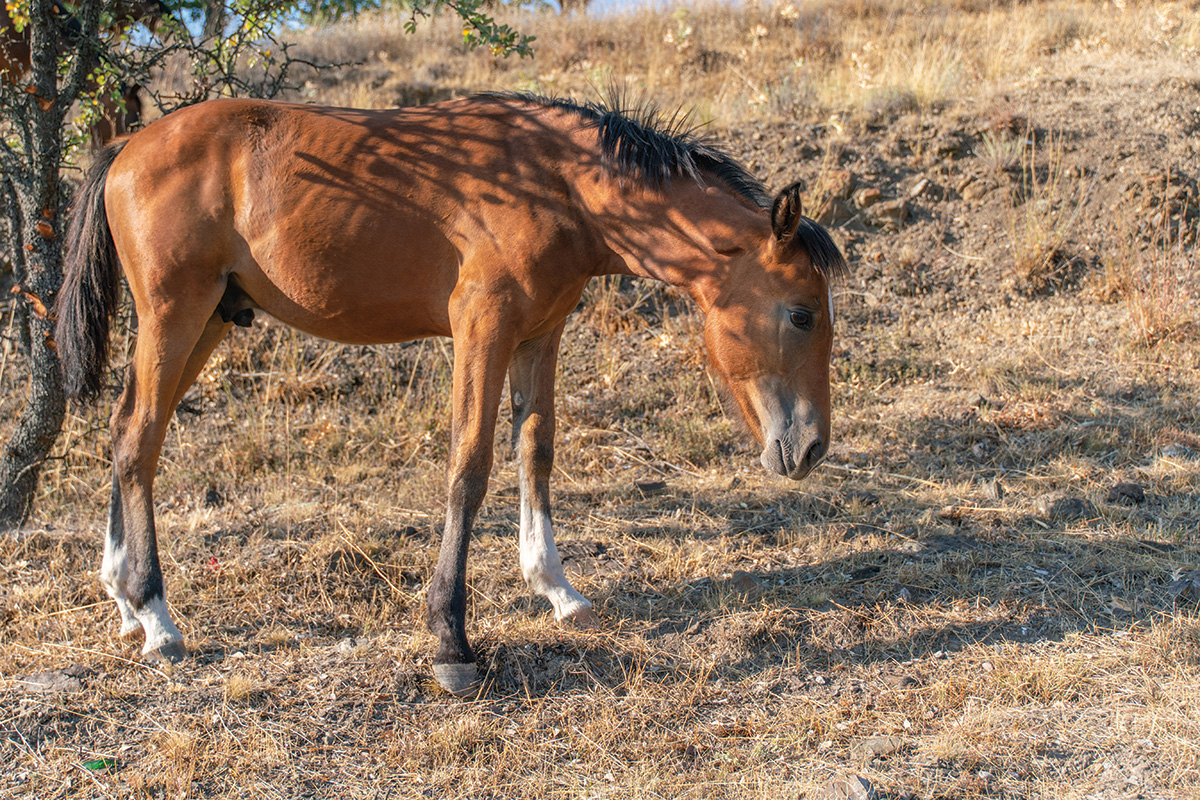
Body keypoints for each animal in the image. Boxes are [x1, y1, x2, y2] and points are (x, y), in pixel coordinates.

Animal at [54, 92, 844, 695]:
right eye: (802, 314)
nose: (808, 448)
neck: (556, 185)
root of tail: (127, 146)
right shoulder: (481, 328)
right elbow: (470, 468)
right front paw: (451, 640)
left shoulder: (538, 335)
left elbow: (536, 452)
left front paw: (556, 588)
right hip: (175, 314)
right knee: (139, 438)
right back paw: (157, 616)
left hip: (210, 318)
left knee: (126, 431)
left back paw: (123, 598)